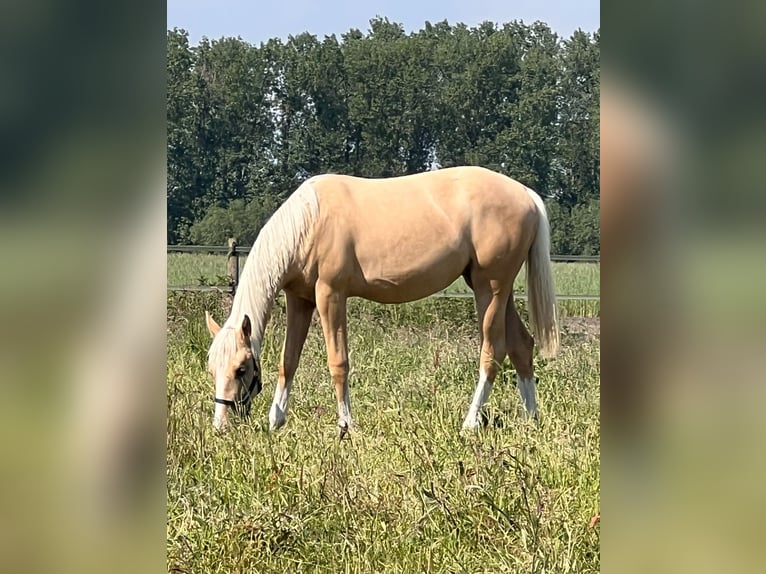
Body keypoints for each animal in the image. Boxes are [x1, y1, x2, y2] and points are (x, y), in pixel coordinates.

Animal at [206, 164, 560, 434]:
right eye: (212, 369)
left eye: (241, 369)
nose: (221, 425)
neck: (309, 222)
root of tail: (526, 194)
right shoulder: (300, 300)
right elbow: (288, 360)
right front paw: (276, 420)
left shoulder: (330, 295)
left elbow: (338, 362)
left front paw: (346, 426)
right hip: (494, 288)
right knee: (521, 345)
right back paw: (531, 419)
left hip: (491, 288)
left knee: (493, 350)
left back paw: (470, 423)